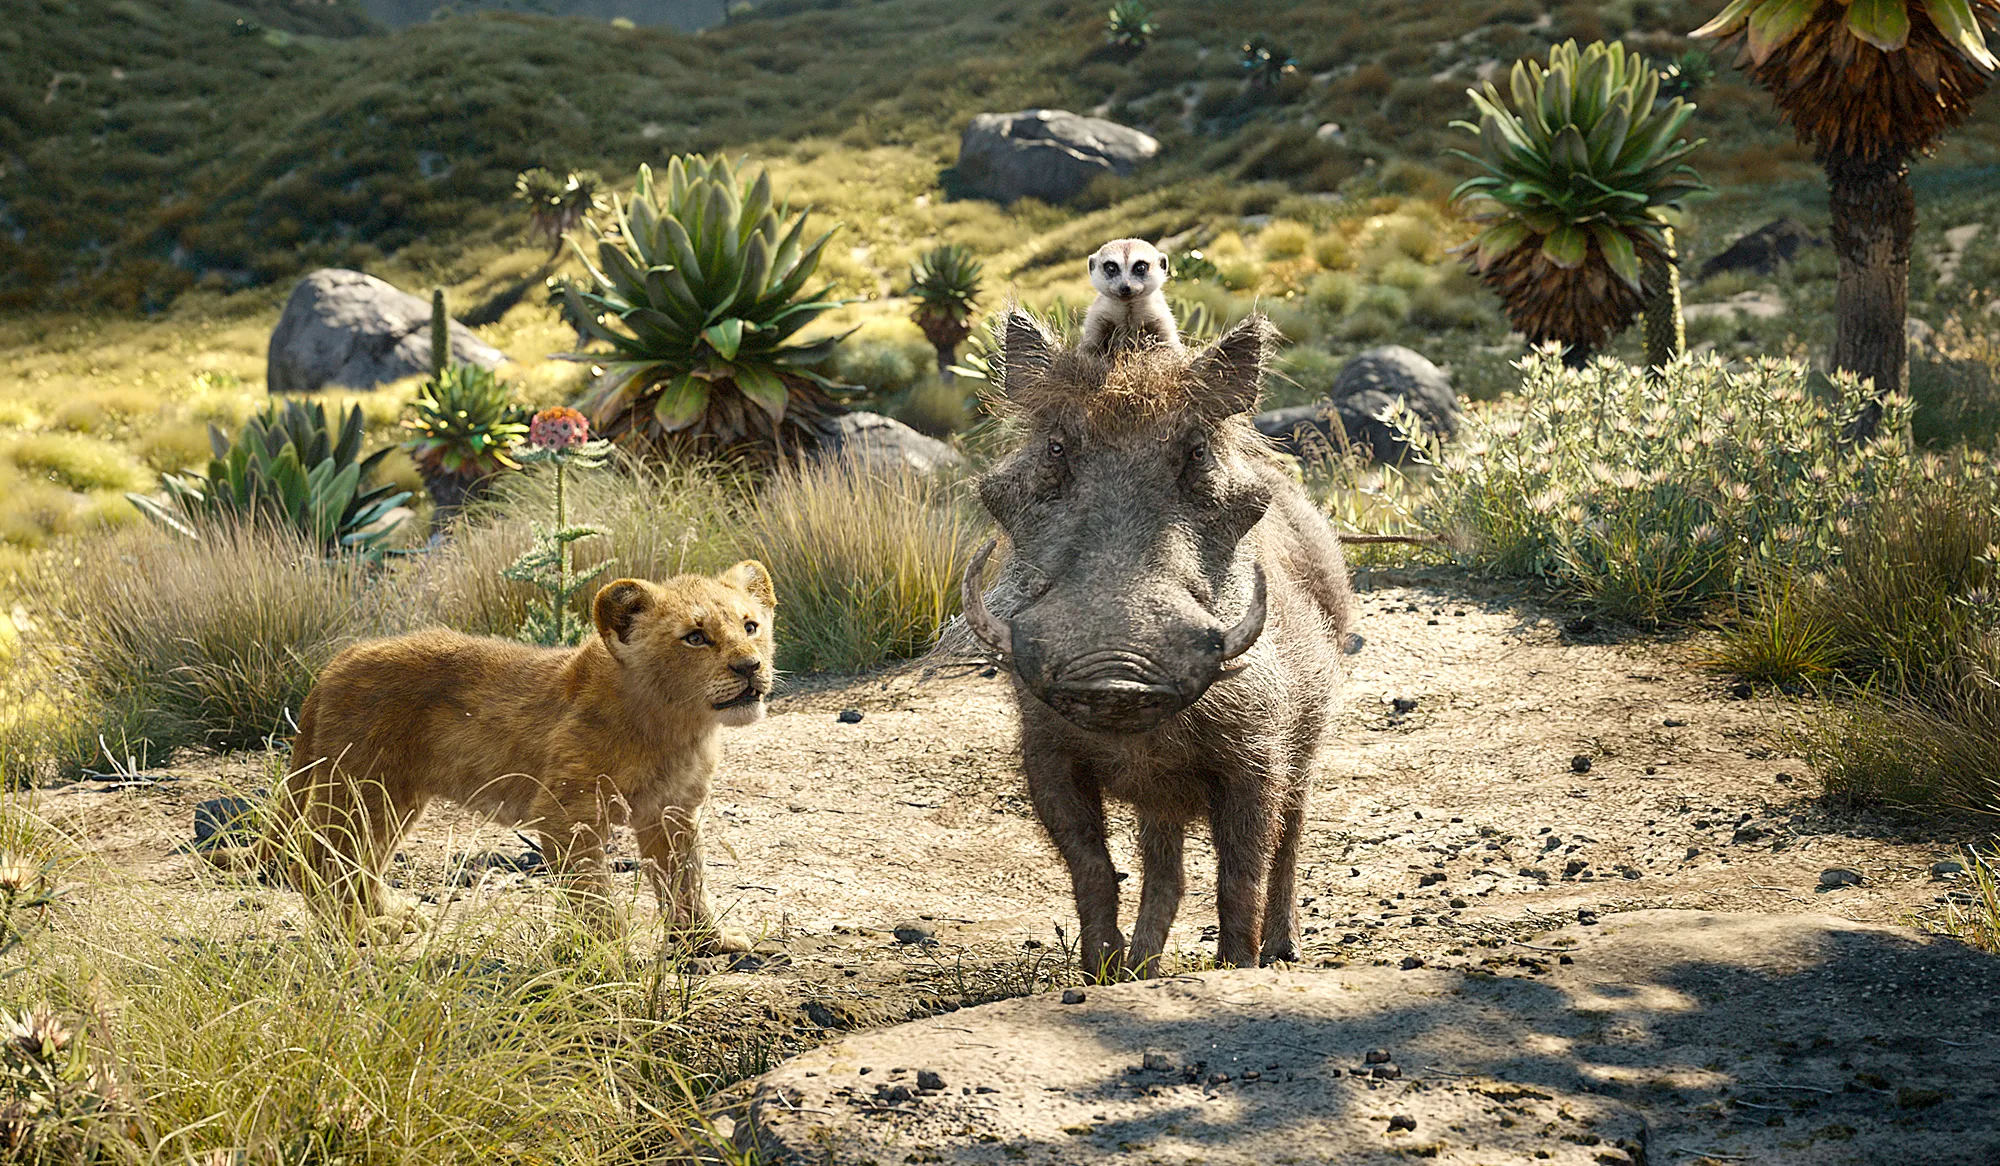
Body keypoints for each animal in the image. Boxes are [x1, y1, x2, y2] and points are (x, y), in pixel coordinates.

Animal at [216, 563, 776, 949]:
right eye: (696, 637)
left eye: (750, 626)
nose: (750, 667)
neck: (677, 725)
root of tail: (336, 662)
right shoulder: (566, 814)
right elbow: (593, 893)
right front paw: (612, 952)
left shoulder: (673, 812)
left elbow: (687, 880)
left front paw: (705, 941)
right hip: (361, 787)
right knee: (316, 858)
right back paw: (362, 931)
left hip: (393, 796)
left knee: (360, 860)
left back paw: (390, 915)